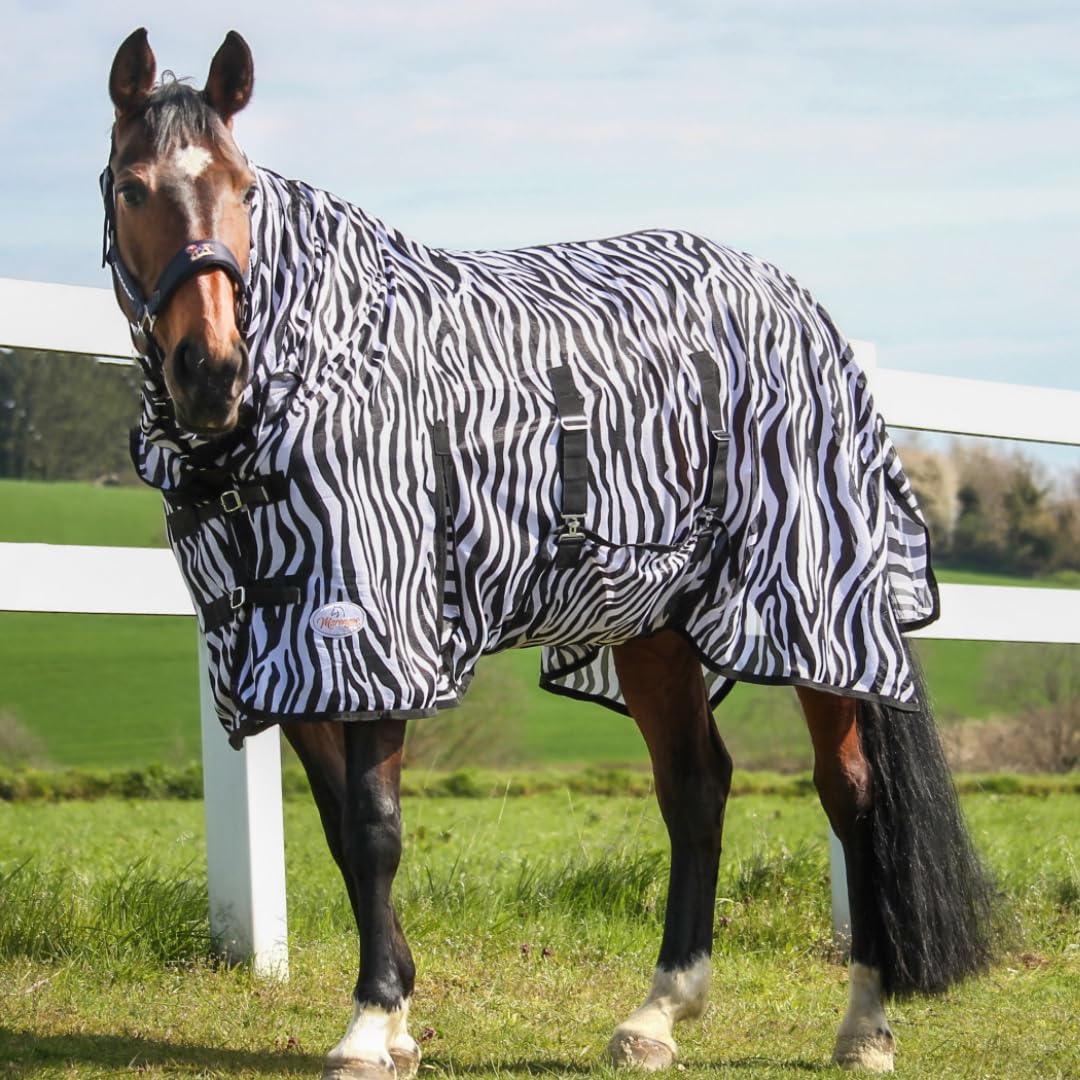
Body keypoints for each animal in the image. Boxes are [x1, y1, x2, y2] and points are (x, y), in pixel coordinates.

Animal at [103, 28, 994, 1078]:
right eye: (133, 186)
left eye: (244, 189)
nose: (211, 372)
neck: (316, 371)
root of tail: (802, 306)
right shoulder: (292, 654)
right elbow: (339, 831)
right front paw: (397, 1015)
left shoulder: (376, 633)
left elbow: (373, 828)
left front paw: (371, 1023)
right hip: (654, 627)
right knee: (696, 788)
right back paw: (659, 1014)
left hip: (816, 618)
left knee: (848, 795)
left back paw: (865, 1026)